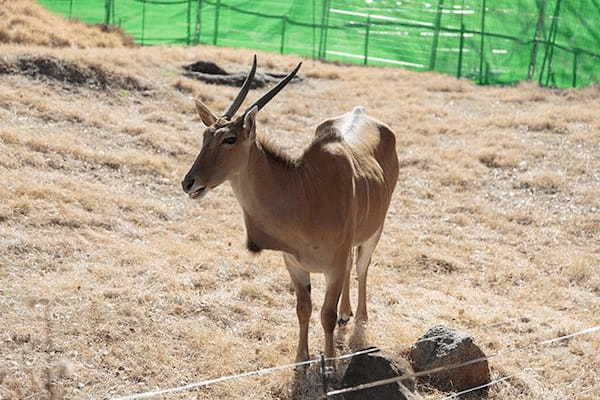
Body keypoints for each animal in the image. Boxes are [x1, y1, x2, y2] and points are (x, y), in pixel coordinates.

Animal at [183, 57, 398, 362]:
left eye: (230, 139)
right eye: (206, 135)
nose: (189, 182)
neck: (304, 192)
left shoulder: (333, 266)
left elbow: (326, 314)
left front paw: (329, 362)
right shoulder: (295, 266)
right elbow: (303, 309)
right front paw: (301, 359)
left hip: (374, 233)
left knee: (361, 267)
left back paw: (360, 318)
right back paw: (346, 314)